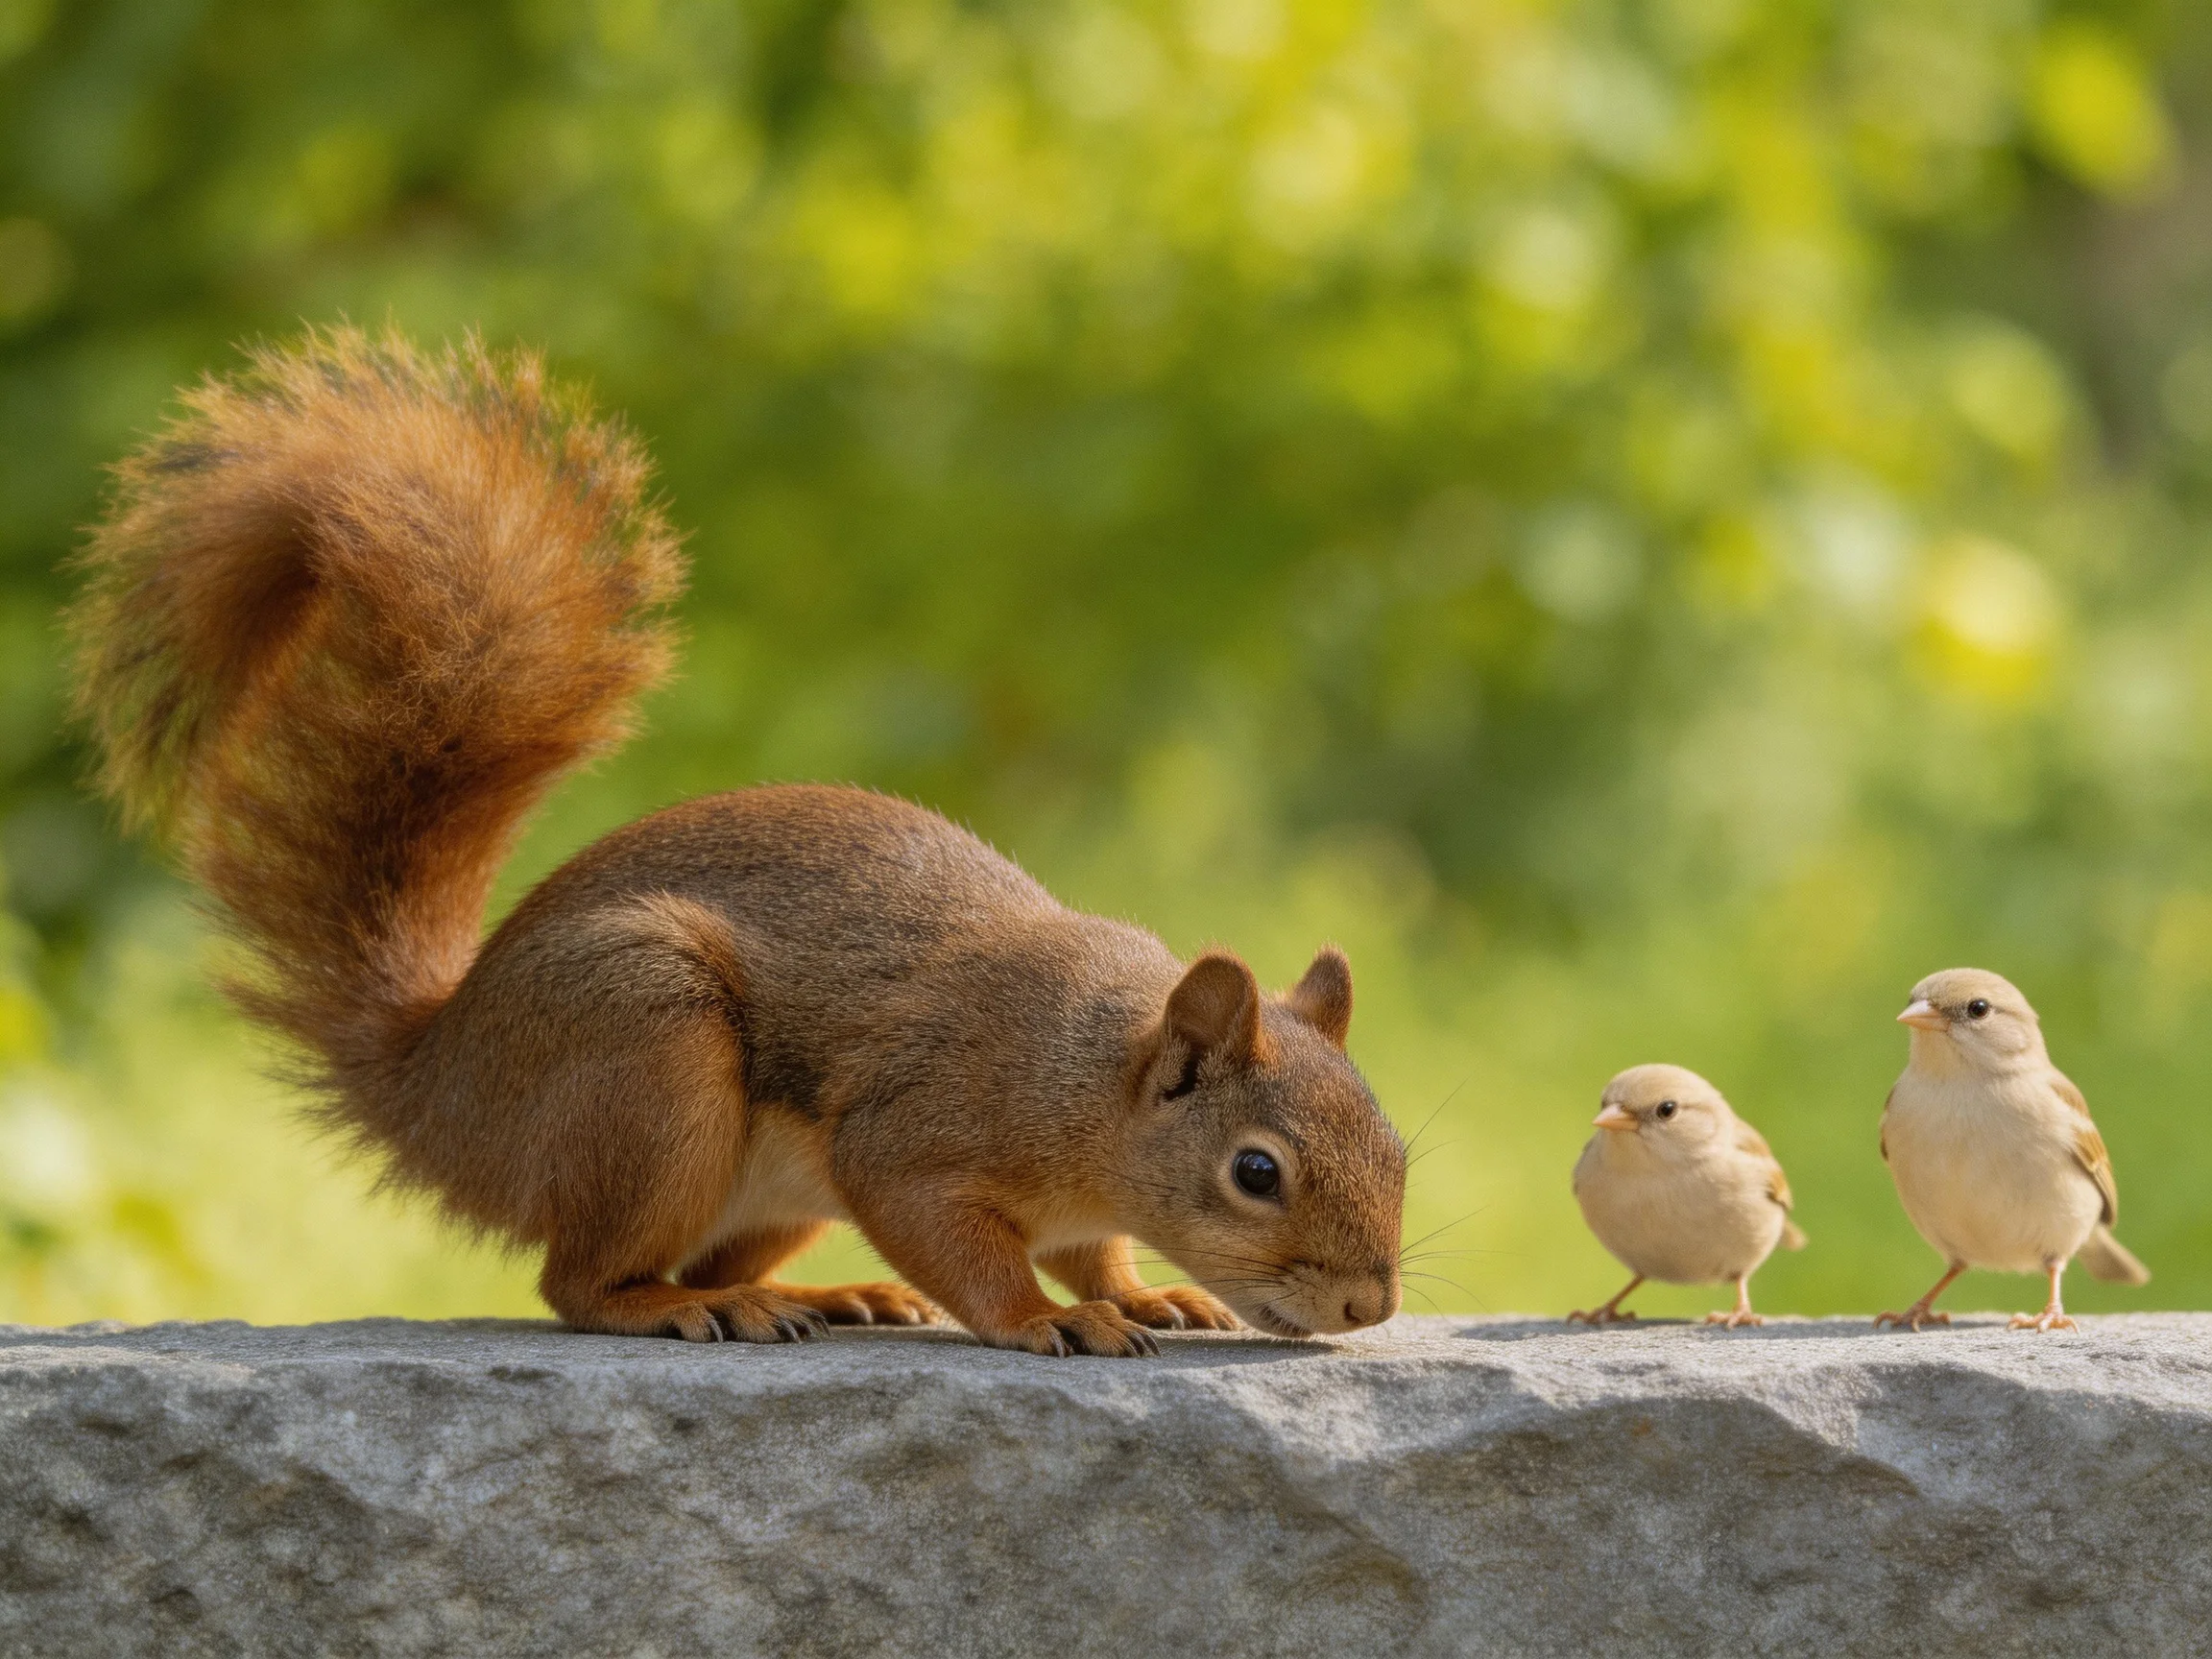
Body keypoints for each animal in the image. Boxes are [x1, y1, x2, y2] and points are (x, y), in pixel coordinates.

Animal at [66, 327, 1407, 1356]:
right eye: (1256, 1172)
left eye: (1396, 1142)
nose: (1366, 1307)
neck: (1091, 1077)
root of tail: (436, 1088)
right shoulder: (911, 1134)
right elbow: (960, 1245)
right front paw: (1047, 1321)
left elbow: (1098, 1250)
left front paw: (1152, 1293)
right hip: (648, 1057)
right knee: (577, 1284)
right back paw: (687, 1311)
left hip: (752, 1180)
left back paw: (821, 1292)